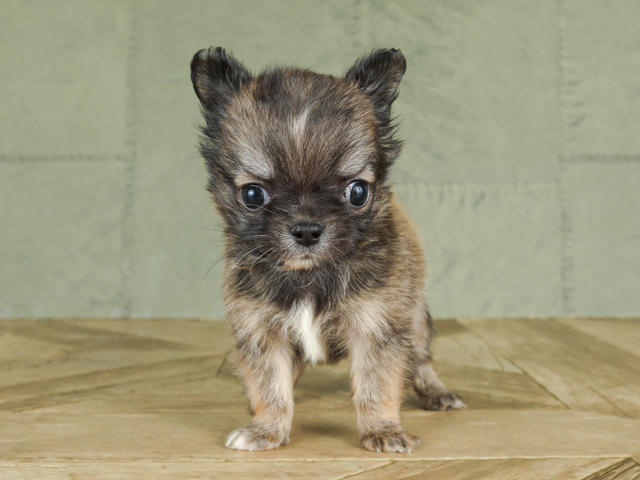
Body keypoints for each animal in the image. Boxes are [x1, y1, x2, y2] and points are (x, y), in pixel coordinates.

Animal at [190, 47, 464, 452]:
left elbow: (377, 385)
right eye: (252, 195)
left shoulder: (377, 326)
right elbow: (270, 385)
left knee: (421, 359)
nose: (306, 229)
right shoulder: (261, 330)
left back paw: (436, 392)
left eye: (358, 192)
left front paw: (383, 430)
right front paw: (265, 428)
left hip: (414, 320)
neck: (310, 275)